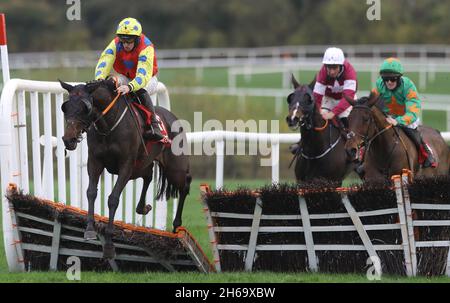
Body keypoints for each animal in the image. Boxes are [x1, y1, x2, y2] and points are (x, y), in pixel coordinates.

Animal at [59, 78, 191, 258]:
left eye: (85, 108)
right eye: (65, 107)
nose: (69, 139)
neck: (108, 125)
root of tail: (174, 118)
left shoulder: (126, 165)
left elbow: (113, 199)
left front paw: (109, 243)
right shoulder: (95, 161)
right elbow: (91, 192)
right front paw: (90, 229)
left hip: (174, 169)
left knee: (185, 185)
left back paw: (177, 225)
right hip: (142, 165)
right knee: (148, 176)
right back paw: (143, 207)